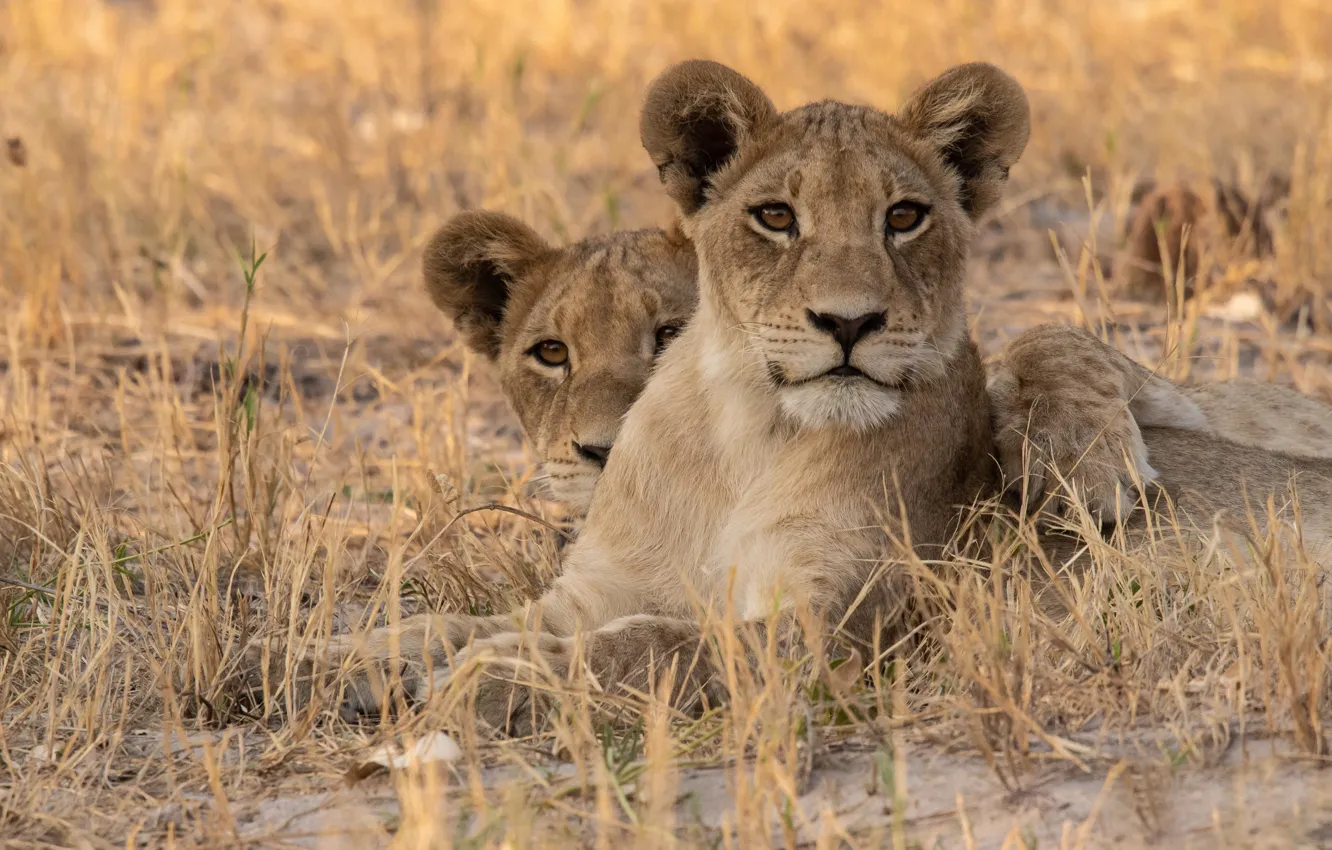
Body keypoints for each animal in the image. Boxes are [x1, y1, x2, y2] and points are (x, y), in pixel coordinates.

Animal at [255, 61, 1332, 730]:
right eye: (775, 217)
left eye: (905, 217)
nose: (848, 322)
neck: (743, 438)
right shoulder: (588, 592)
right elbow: (450, 624)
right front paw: (314, 660)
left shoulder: (839, 626)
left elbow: (651, 647)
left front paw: (492, 682)